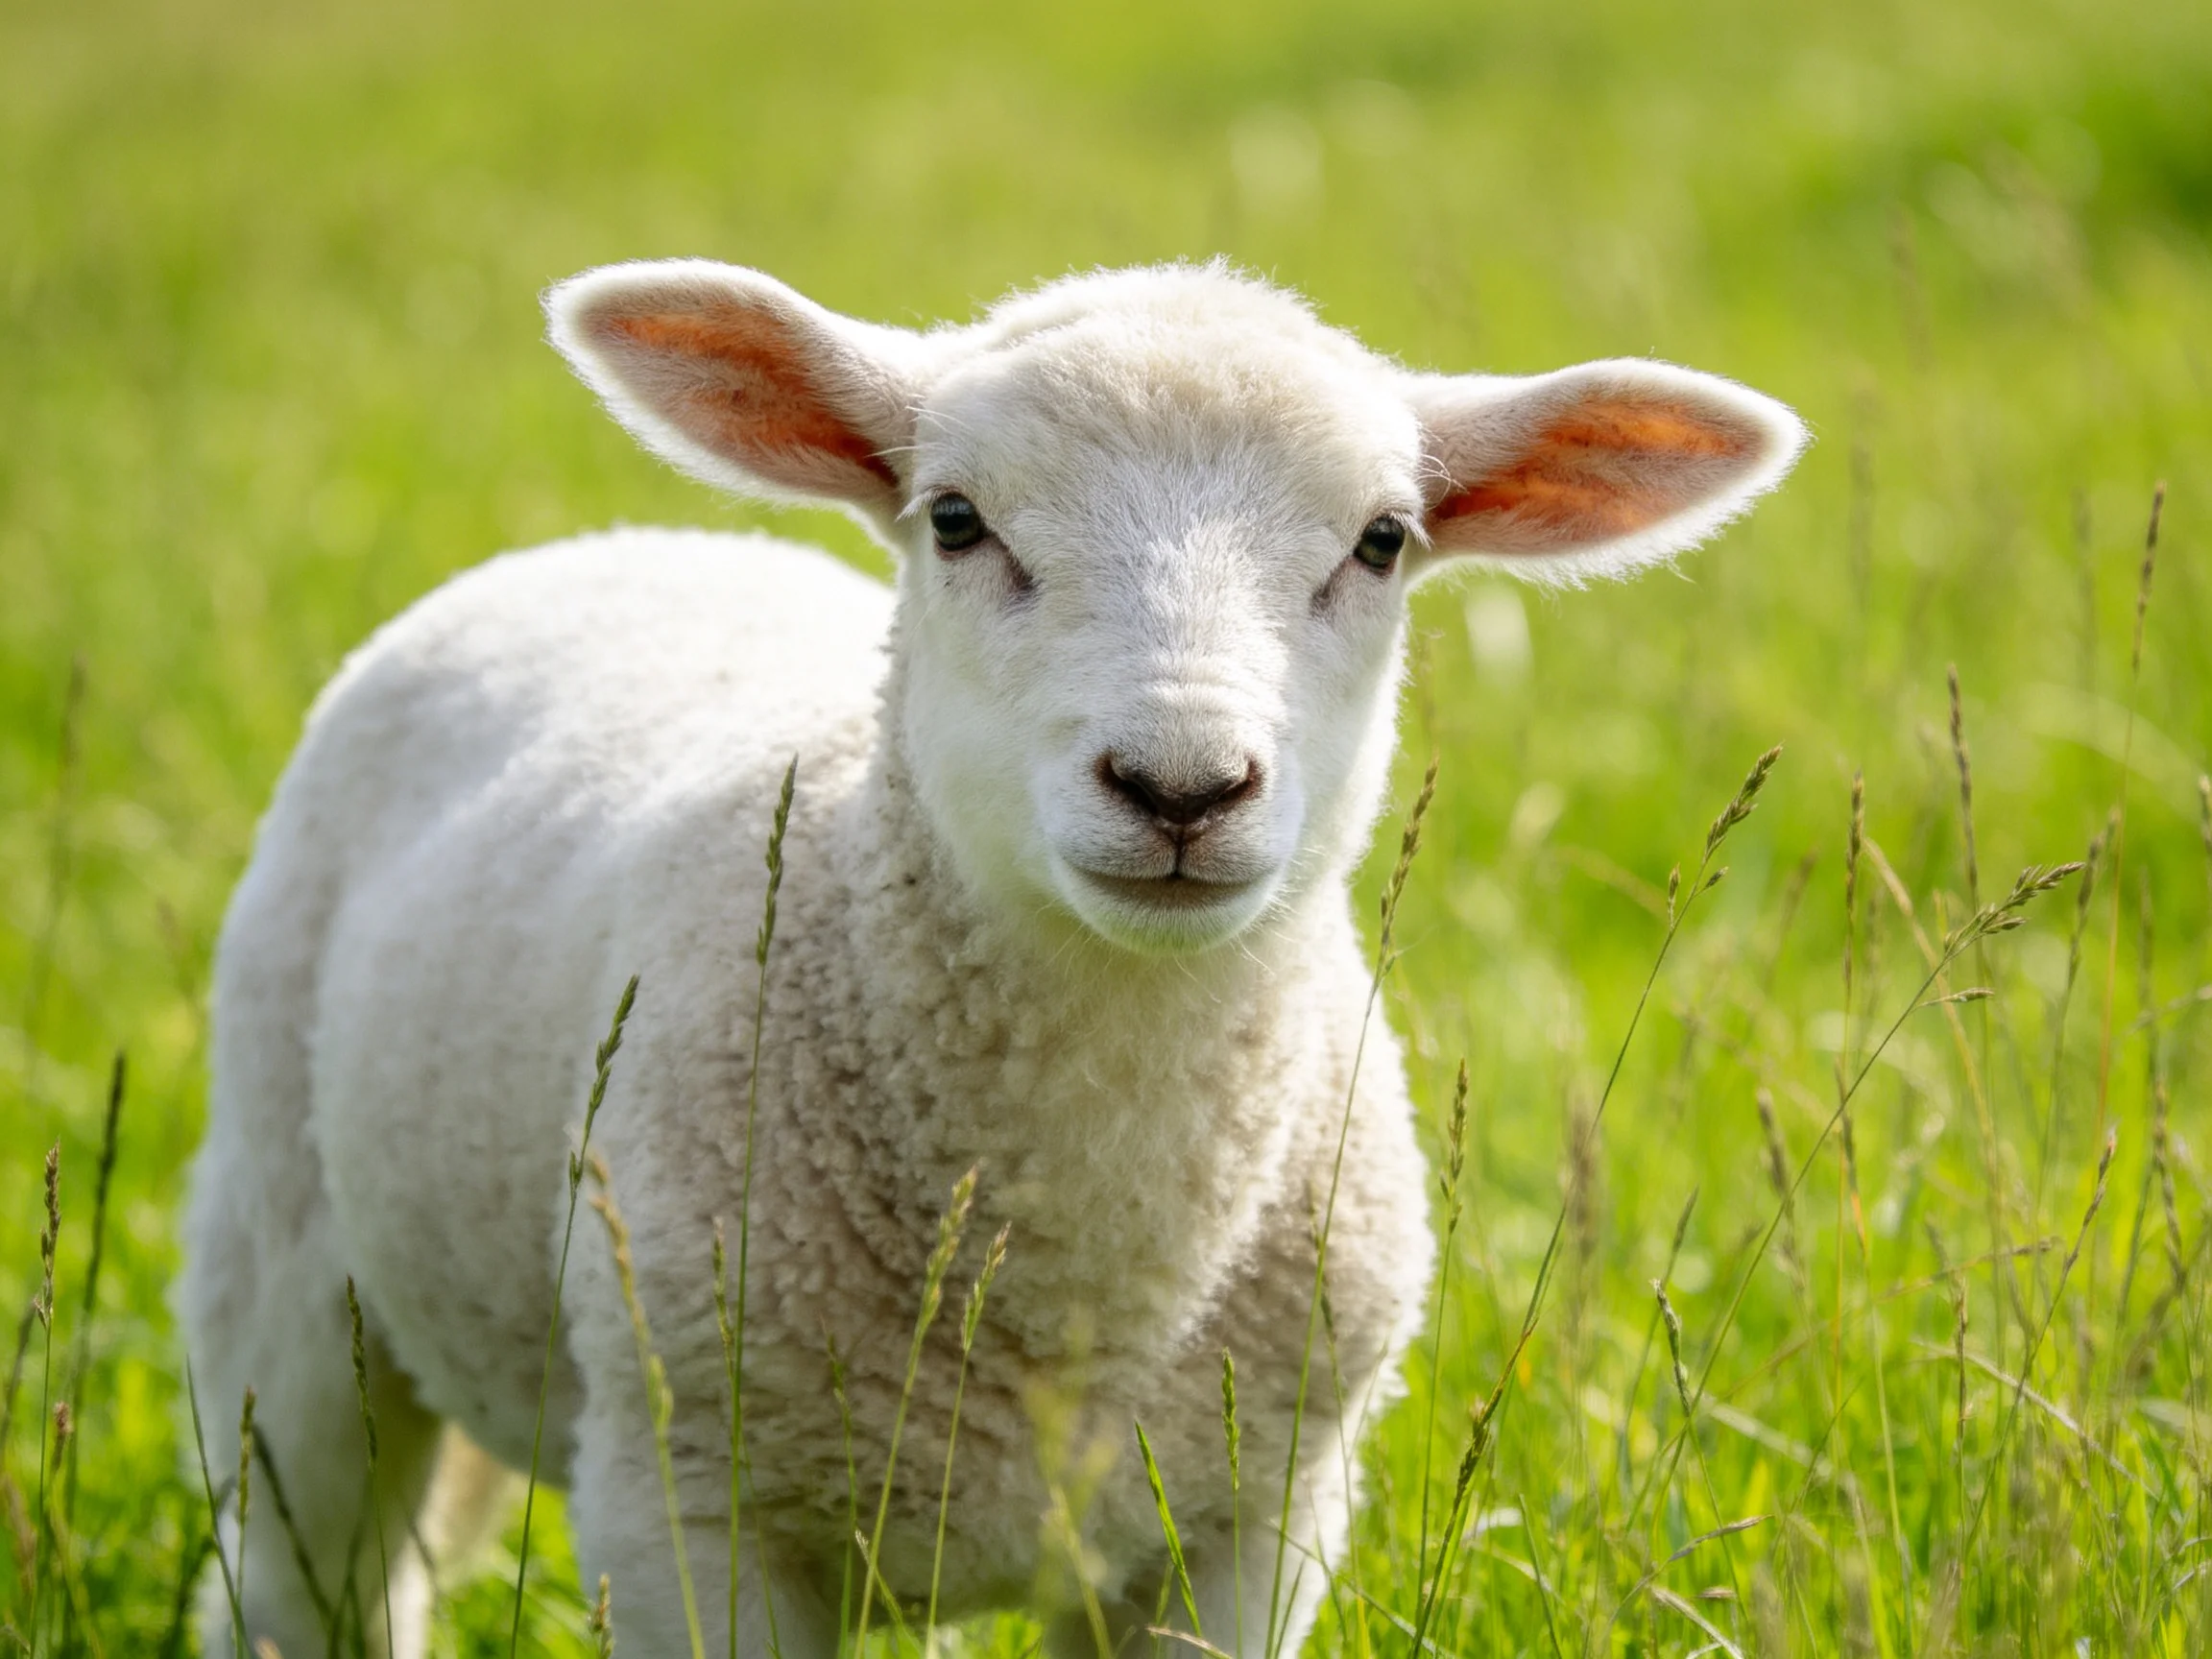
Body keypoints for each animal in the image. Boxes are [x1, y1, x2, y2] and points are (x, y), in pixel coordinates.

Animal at [176, 259, 1805, 1659]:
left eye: (1383, 542)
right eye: (956, 520)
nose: (1180, 787)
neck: (1083, 1258)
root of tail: (619, 545)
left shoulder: (1250, 1522)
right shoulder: (686, 1496)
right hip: (288, 1267)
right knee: (304, 1580)